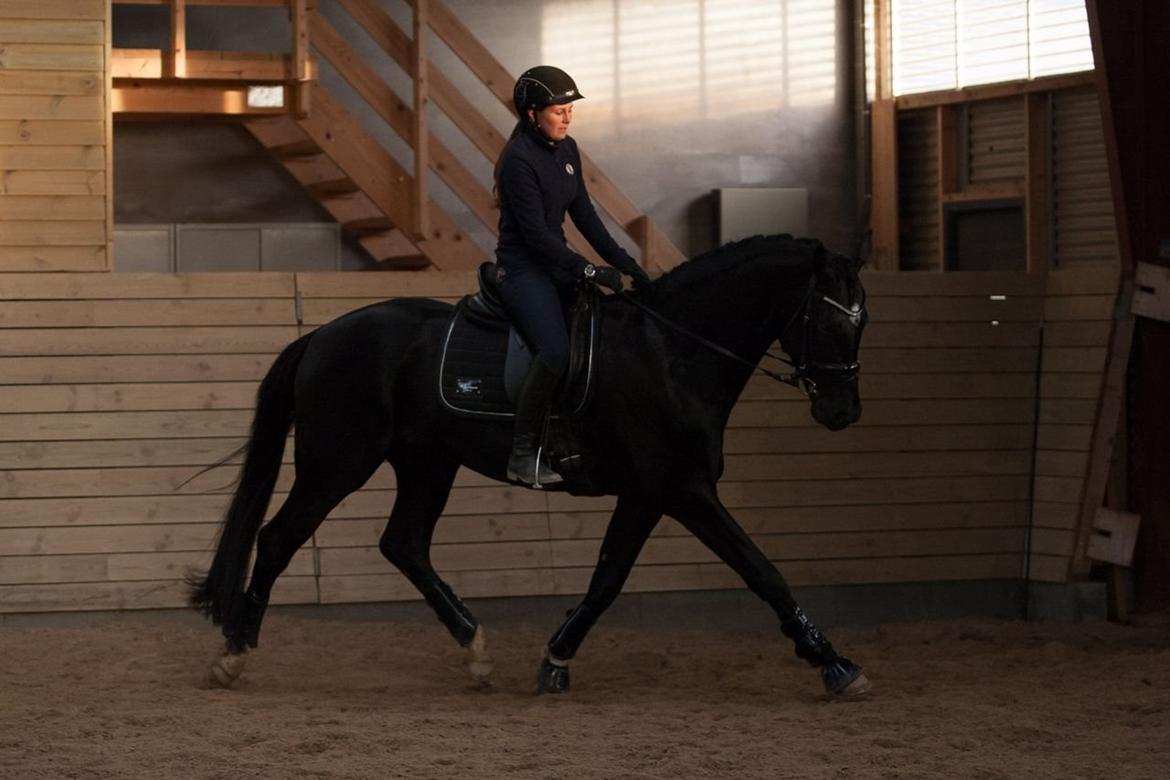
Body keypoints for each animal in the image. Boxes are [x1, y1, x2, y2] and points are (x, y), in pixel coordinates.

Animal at [189, 231, 870, 696]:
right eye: (828, 321)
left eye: (862, 322)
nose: (843, 413)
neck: (672, 351)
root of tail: (322, 334)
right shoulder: (683, 488)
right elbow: (762, 571)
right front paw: (834, 663)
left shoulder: (647, 493)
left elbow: (606, 579)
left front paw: (556, 659)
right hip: (337, 463)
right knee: (279, 537)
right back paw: (234, 653)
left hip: (427, 463)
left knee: (403, 543)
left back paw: (474, 648)